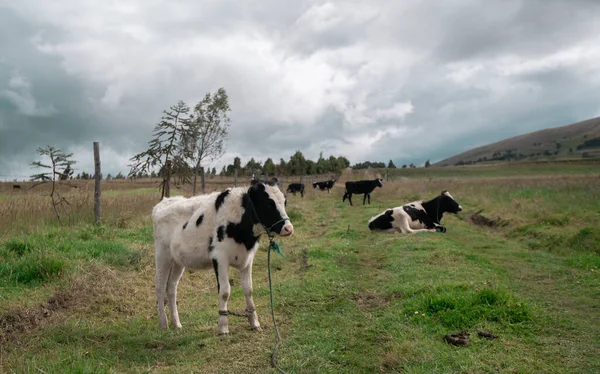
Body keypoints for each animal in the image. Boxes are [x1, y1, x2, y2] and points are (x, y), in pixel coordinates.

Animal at [151, 180, 294, 334]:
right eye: (268, 204)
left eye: (285, 202)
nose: (288, 228)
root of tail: (164, 202)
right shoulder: (219, 257)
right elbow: (225, 292)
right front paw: (223, 327)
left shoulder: (247, 259)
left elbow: (249, 289)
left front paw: (254, 322)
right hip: (162, 255)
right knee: (160, 285)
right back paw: (163, 323)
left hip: (178, 261)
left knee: (171, 286)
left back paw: (176, 323)